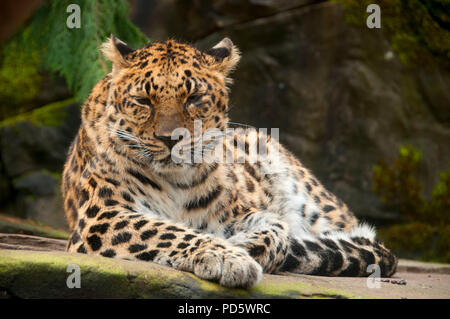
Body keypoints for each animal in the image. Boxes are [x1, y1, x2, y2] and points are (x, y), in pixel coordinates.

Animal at [62, 35, 398, 290]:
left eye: (194, 98)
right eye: (143, 101)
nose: (171, 138)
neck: (174, 180)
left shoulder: (233, 213)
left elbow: (276, 227)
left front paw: (244, 246)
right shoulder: (102, 216)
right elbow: (166, 231)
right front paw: (229, 257)